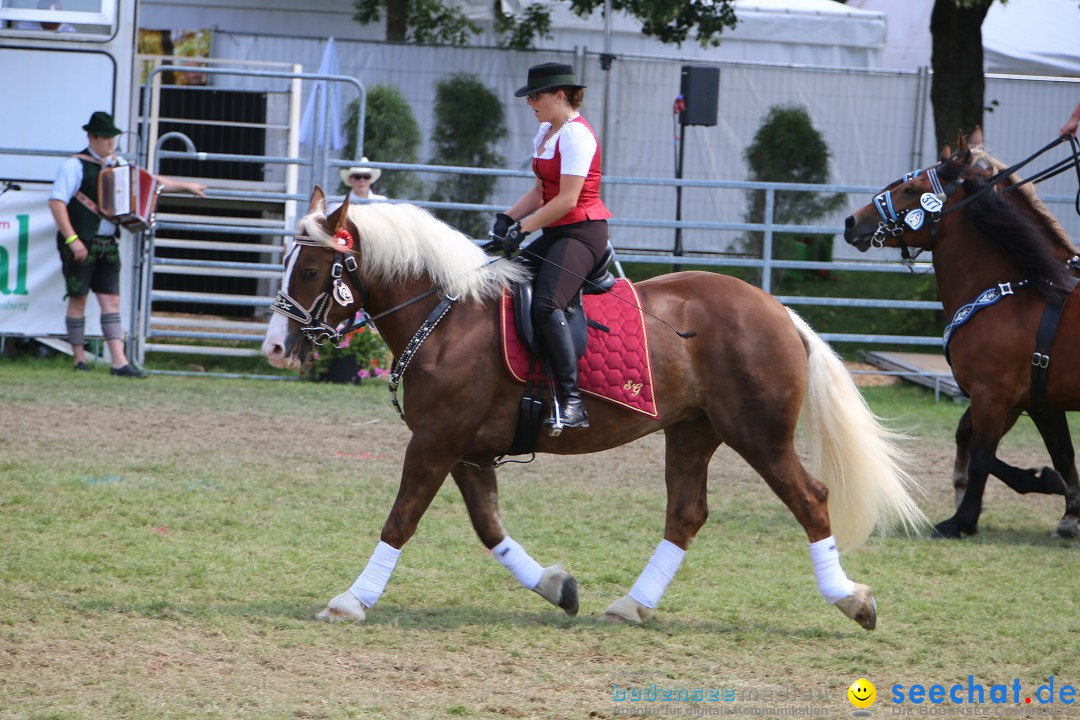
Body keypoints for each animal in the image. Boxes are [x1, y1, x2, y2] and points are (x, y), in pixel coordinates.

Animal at [265, 187, 924, 630]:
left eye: (315, 269)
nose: (274, 347)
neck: (448, 315)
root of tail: (778, 310)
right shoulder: (465, 449)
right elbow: (489, 528)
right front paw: (556, 587)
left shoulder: (436, 440)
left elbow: (401, 519)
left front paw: (352, 600)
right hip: (693, 431)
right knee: (686, 514)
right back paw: (634, 604)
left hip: (757, 434)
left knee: (809, 499)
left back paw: (852, 599)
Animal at [842, 127, 1080, 539]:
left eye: (912, 188)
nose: (852, 222)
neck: (1022, 292)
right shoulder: (1035, 402)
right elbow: (1057, 454)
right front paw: (1063, 501)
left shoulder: (993, 395)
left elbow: (982, 455)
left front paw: (961, 520)